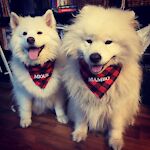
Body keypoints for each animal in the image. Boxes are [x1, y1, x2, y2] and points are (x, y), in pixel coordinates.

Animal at [61, 5, 142, 149]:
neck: (99, 80)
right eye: (89, 41)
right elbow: (81, 119)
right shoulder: (80, 101)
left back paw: (130, 120)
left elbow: (115, 126)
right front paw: (80, 133)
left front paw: (115, 141)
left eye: (108, 42)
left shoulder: (117, 107)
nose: (94, 57)